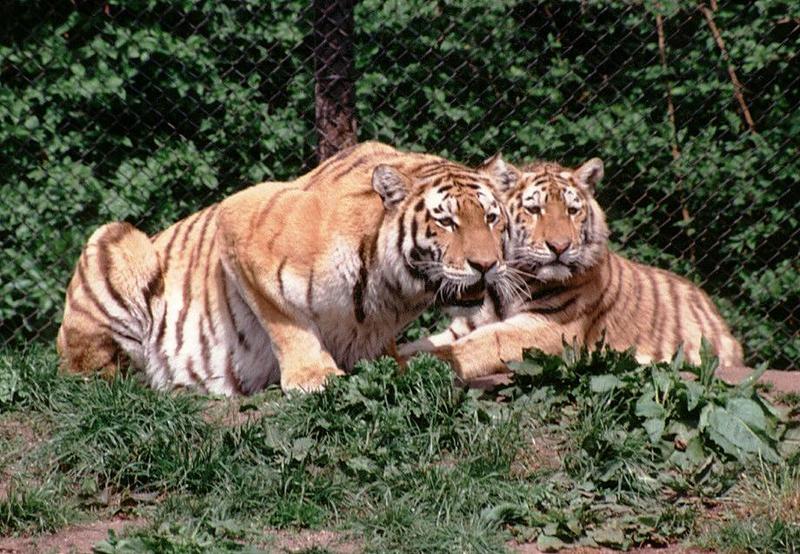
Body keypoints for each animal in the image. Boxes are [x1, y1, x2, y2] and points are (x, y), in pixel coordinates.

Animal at [59, 141, 516, 392]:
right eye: (447, 221)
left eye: (491, 218)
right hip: (115, 241)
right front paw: (314, 375)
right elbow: (287, 322)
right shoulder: (238, 218)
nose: (486, 264)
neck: (394, 291)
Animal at [398, 155, 744, 380]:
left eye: (572, 210)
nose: (560, 247)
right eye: (534, 209)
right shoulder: (465, 325)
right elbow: (422, 342)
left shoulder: (546, 328)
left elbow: (481, 343)